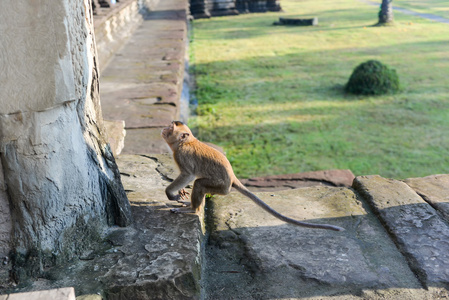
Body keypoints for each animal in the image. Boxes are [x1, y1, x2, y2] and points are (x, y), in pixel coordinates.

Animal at [160, 120, 344, 231]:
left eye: (171, 128)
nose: (164, 128)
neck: (186, 142)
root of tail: (233, 177)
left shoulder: (182, 155)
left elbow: (188, 174)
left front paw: (171, 193)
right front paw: (180, 192)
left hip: (220, 187)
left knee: (199, 183)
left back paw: (192, 209)